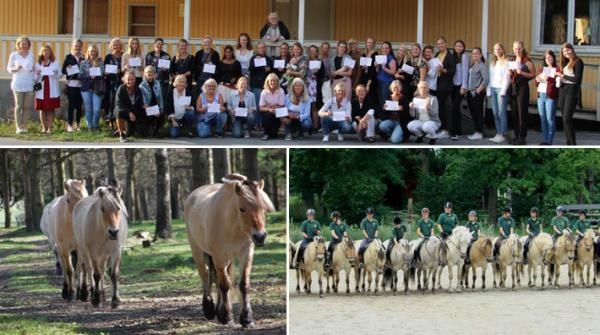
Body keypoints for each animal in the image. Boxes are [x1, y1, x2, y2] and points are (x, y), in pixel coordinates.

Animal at [184, 176, 276, 328]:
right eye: (242, 209)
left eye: (263, 208)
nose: (260, 236)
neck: (233, 227)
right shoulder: (219, 256)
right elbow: (224, 285)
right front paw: (227, 317)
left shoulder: (246, 254)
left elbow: (243, 285)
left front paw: (247, 319)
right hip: (198, 251)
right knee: (205, 274)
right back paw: (209, 308)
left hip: (226, 259)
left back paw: (218, 310)